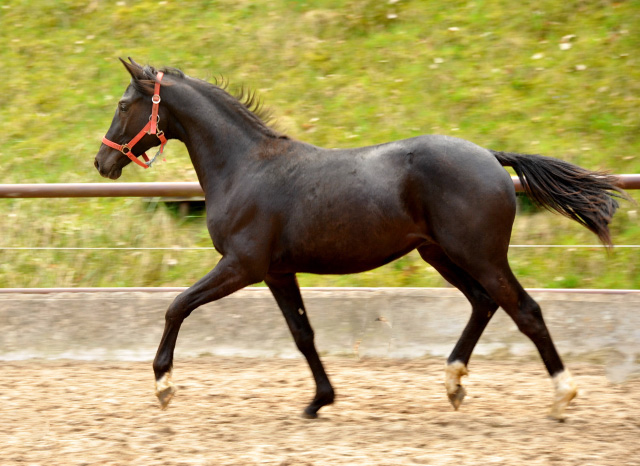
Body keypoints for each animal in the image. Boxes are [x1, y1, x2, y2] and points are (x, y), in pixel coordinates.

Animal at [94, 57, 624, 418]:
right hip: (439, 253)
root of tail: (492, 158)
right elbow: (302, 333)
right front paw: (319, 401)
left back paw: (562, 396)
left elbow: (177, 306)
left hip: (480, 254)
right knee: (484, 303)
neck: (245, 167)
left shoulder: (242, 266)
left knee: (525, 311)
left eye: (122, 103)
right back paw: (454, 383)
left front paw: (163, 385)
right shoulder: (277, 272)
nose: (102, 162)